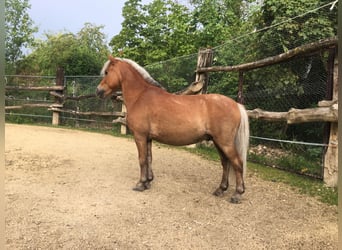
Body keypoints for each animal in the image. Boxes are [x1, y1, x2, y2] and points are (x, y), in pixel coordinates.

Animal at [96, 56, 248, 203]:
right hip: (218, 142)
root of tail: (236, 105)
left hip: (224, 143)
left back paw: (237, 194)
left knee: (237, 163)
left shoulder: (140, 136)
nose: (98, 91)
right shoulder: (148, 138)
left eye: (107, 72)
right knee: (225, 163)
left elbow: (142, 159)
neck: (140, 96)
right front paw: (148, 182)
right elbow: (149, 158)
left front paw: (140, 184)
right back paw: (220, 189)